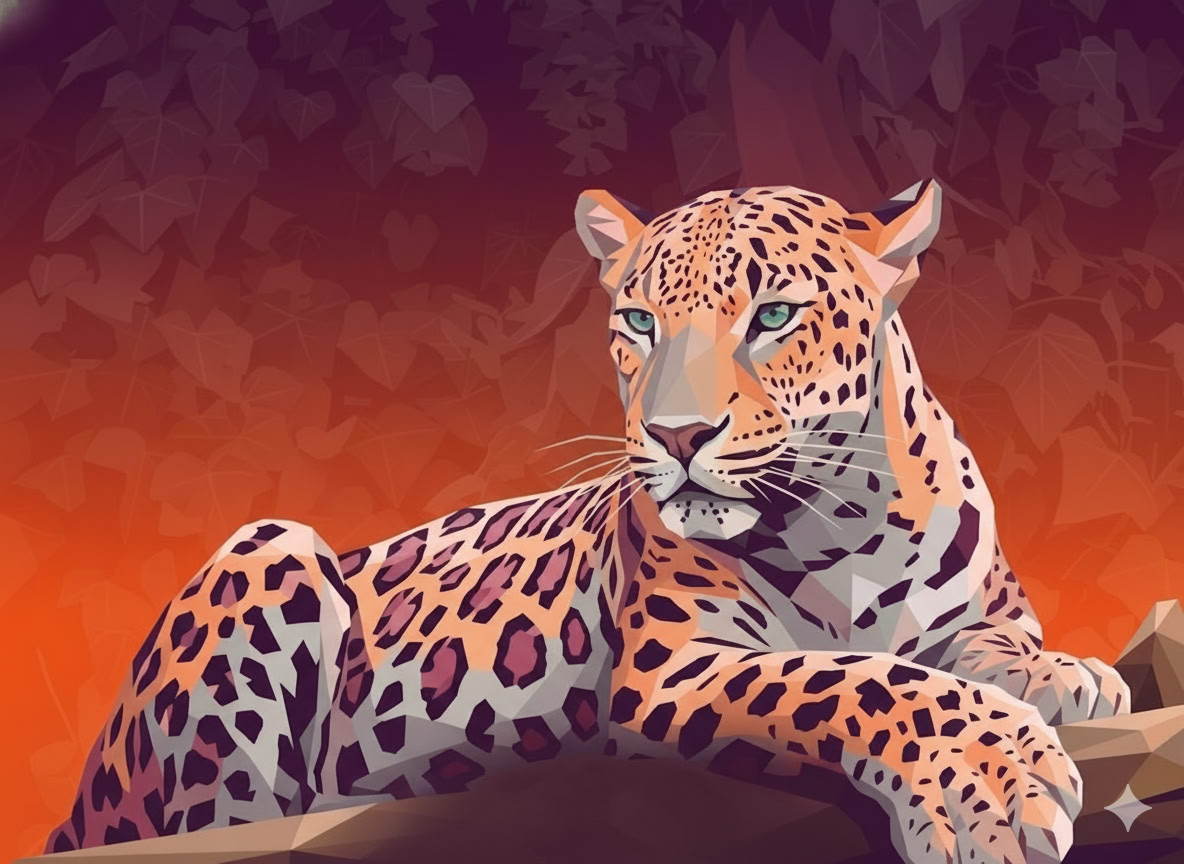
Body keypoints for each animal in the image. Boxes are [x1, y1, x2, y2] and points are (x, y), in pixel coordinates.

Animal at [46, 179, 1131, 864]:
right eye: (639, 322)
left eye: (774, 316)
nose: (677, 435)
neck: (843, 526)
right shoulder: (673, 670)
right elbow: (855, 679)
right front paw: (991, 781)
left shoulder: (976, 606)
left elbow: (983, 645)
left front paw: (1063, 676)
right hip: (264, 557)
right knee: (220, 818)